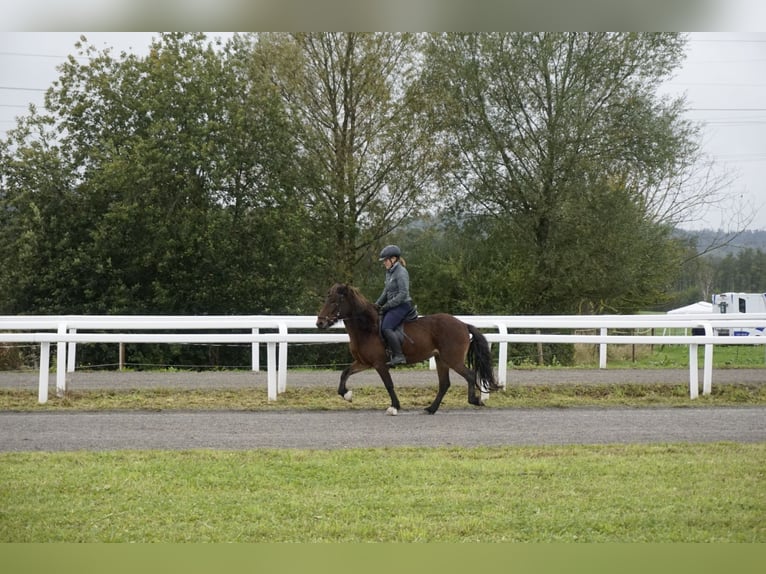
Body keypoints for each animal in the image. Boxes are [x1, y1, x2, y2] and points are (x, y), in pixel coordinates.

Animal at [316, 284, 500, 416]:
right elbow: (344, 373)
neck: (367, 328)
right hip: (441, 360)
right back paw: (431, 409)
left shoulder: (379, 364)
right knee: (444, 384)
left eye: (334, 302)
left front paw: (394, 407)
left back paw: (475, 400)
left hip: (452, 360)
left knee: (469, 375)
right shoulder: (363, 363)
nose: (320, 323)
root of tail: (463, 324)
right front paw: (347, 395)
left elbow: (389, 384)